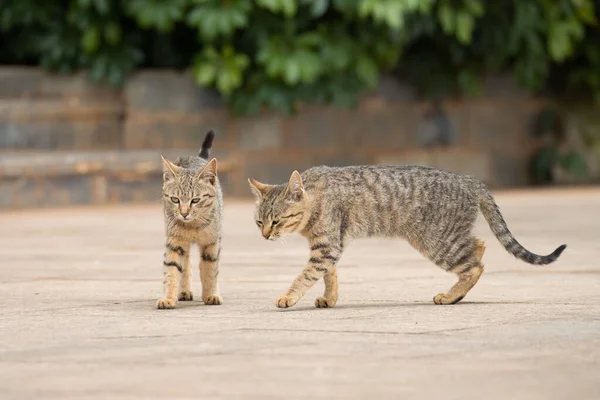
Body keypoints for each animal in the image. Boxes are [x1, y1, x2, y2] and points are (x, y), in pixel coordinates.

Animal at [158, 131, 224, 310]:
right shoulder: (174, 242)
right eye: (175, 199)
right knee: (186, 261)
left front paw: (211, 294)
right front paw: (168, 297)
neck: (193, 226)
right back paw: (184, 291)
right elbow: (172, 270)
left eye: (195, 200)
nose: (184, 213)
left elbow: (210, 270)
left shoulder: (212, 243)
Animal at [248, 164, 568, 308]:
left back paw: (451, 296)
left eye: (276, 221)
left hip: (438, 243)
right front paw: (330, 298)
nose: (264, 236)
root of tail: (470, 180)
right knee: (479, 247)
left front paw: (289, 296)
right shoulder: (329, 246)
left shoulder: (326, 247)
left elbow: (305, 276)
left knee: (475, 264)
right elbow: (329, 276)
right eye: (259, 222)